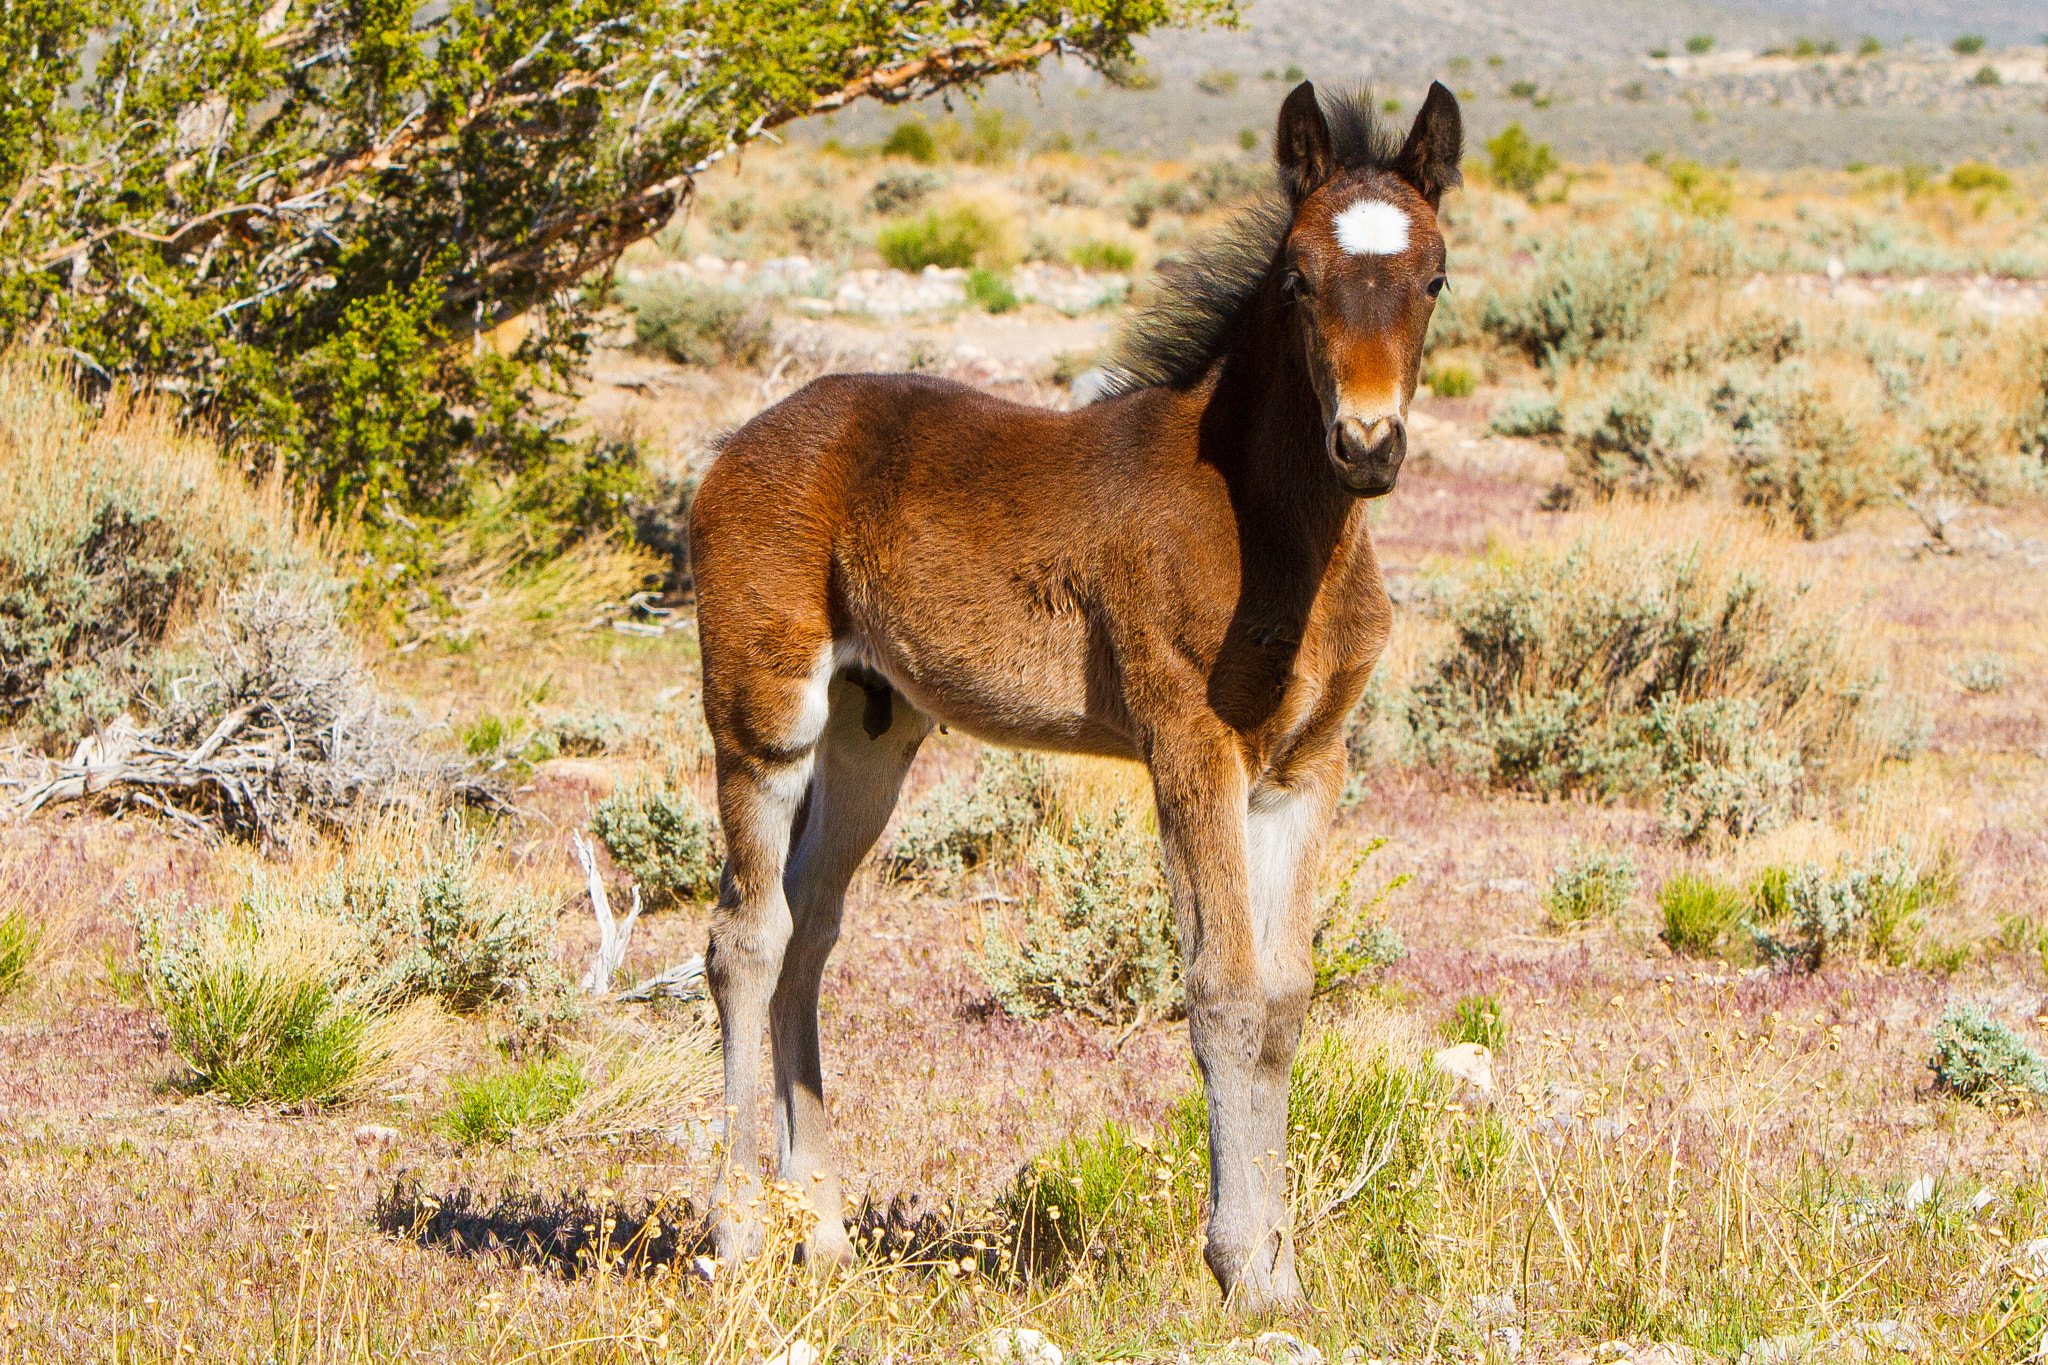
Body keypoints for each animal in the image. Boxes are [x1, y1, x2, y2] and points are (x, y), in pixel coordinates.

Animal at [688, 79, 1461, 1313]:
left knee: (810, 930)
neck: (1276, 530)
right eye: (1298, 278)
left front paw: (1282, 1273)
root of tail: (738, 443)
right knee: (745, 937)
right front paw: (1238, 1268)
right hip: (763, 711)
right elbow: (1223, 990)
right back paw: (738, 1229)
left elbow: (1284, 1001)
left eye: (1433, 277)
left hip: (872, 728)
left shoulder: (1306, 767)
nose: (1368, 444)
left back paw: (826, 1229)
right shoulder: (1190, 744)